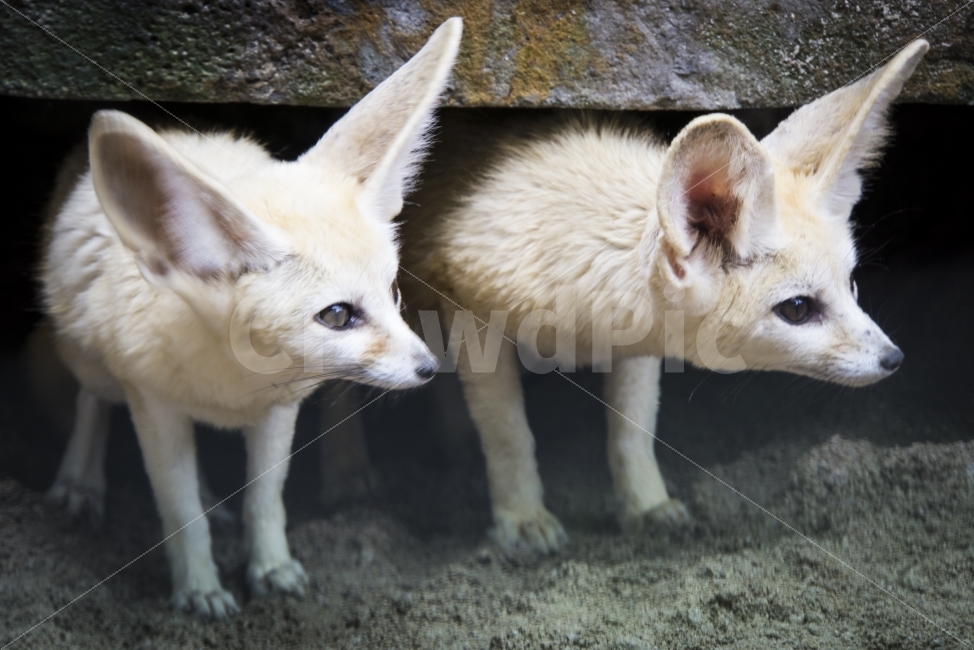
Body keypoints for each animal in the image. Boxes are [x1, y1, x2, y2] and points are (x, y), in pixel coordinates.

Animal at [39, 18, 461, 617]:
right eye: (338, 315)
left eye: (392, 291)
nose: (429, 367)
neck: (233, 387)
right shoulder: (152, 403)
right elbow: (179, 509)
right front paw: (198, 588)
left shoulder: (278, 411)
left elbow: (266, 496)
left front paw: (271, 568)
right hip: (96, 366)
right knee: (91, 401)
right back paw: (80, 482)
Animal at [397, 40, 927, 555]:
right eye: (798, 309)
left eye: (852, 284)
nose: (895, 358)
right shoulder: (469, 314)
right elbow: (508, 434)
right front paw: (521, 517)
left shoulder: (636, 345)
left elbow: (633, 428)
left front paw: (646, 504)